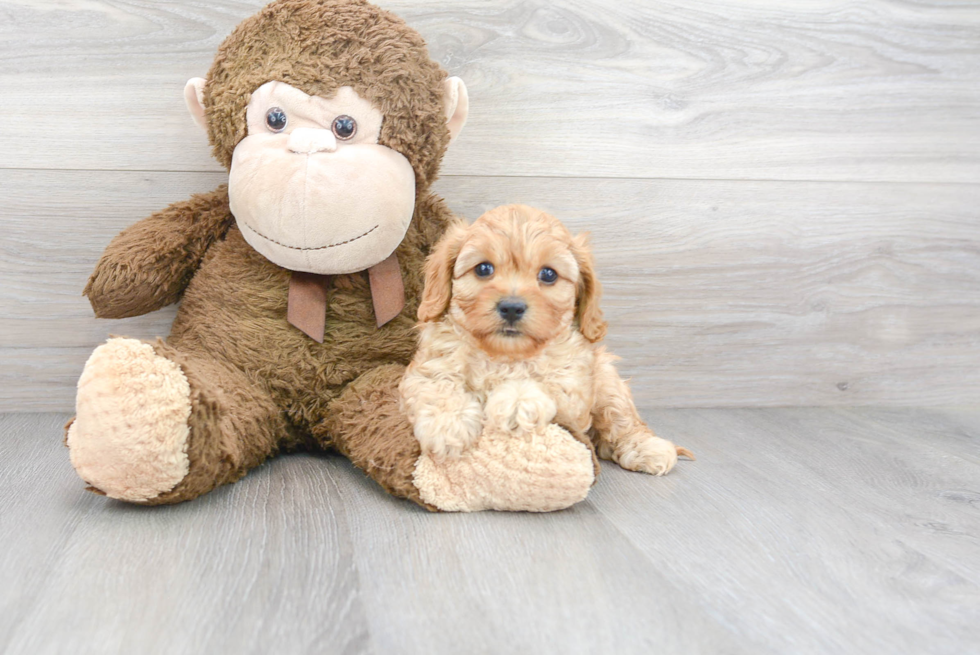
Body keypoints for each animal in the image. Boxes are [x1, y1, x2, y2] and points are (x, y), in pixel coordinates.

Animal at [400, 205, 696, 482]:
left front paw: (516, 401)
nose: (511, 307)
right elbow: (437, 388)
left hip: (608, 381)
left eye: (549, 275)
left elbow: (547, 385)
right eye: (483, 268)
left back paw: (648, 448)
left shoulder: (574, 385)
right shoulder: (426, 368)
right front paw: (447, 426)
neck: (505, 355)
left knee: (623, 422)